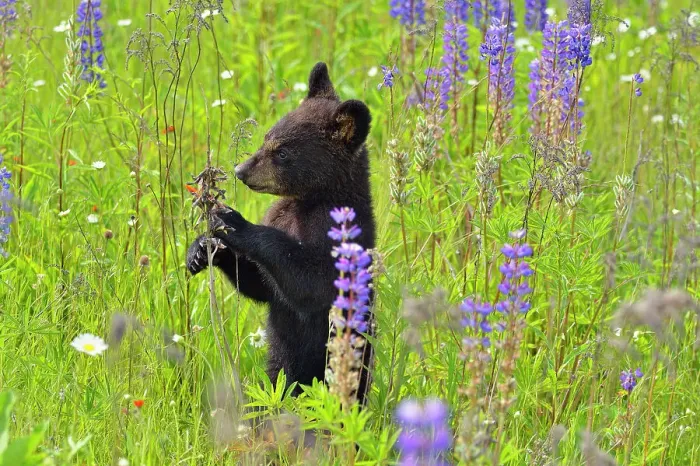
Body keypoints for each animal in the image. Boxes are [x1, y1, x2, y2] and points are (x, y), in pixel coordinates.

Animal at [186, 62, 376, 404]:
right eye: (266, 138)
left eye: (283, 152)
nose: (241, 170)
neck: (309, 200)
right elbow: (262, 285)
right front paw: (202, 250)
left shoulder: (338, 233)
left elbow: (310, 283)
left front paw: (233, 221)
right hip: (278, 367)